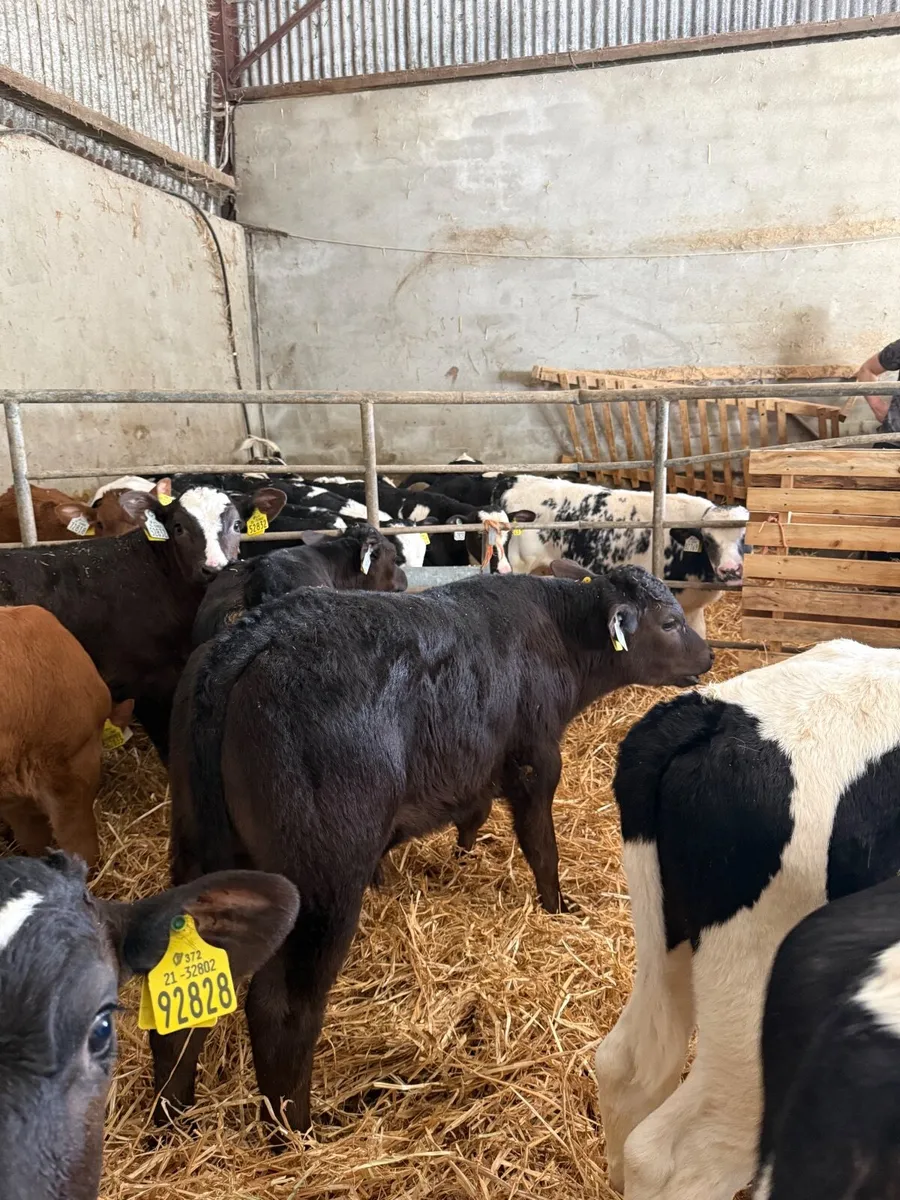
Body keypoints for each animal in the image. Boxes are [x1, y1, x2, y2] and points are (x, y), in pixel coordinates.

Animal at [154, 560, 712, 1137]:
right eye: (670, 622)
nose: (709, 656)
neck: (554, 632)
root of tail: (256, 633)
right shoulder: (534, 759)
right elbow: (541, 845)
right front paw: (558, 905)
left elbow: (473, 813)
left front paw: (459, 855)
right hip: (321, 875)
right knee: (281, 1008)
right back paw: (297, 1132)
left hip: (200, 850)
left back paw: (171, 1116)